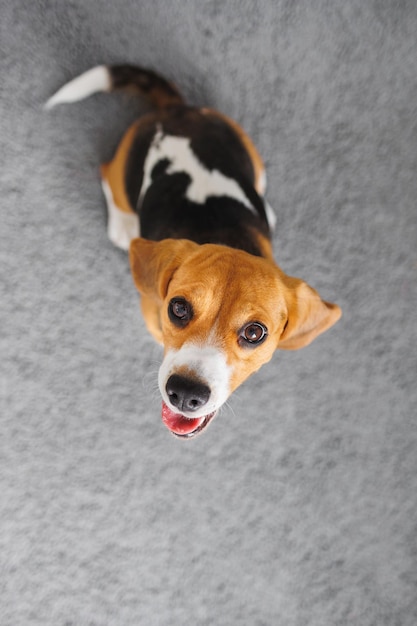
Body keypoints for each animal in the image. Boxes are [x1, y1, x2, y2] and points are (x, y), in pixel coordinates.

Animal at [46, 62, 342, 434]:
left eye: (255, 332)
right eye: (178, 308)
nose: (186, 393)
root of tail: (176, 111)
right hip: (121, 174)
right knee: (106, 177)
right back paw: (122, 225)